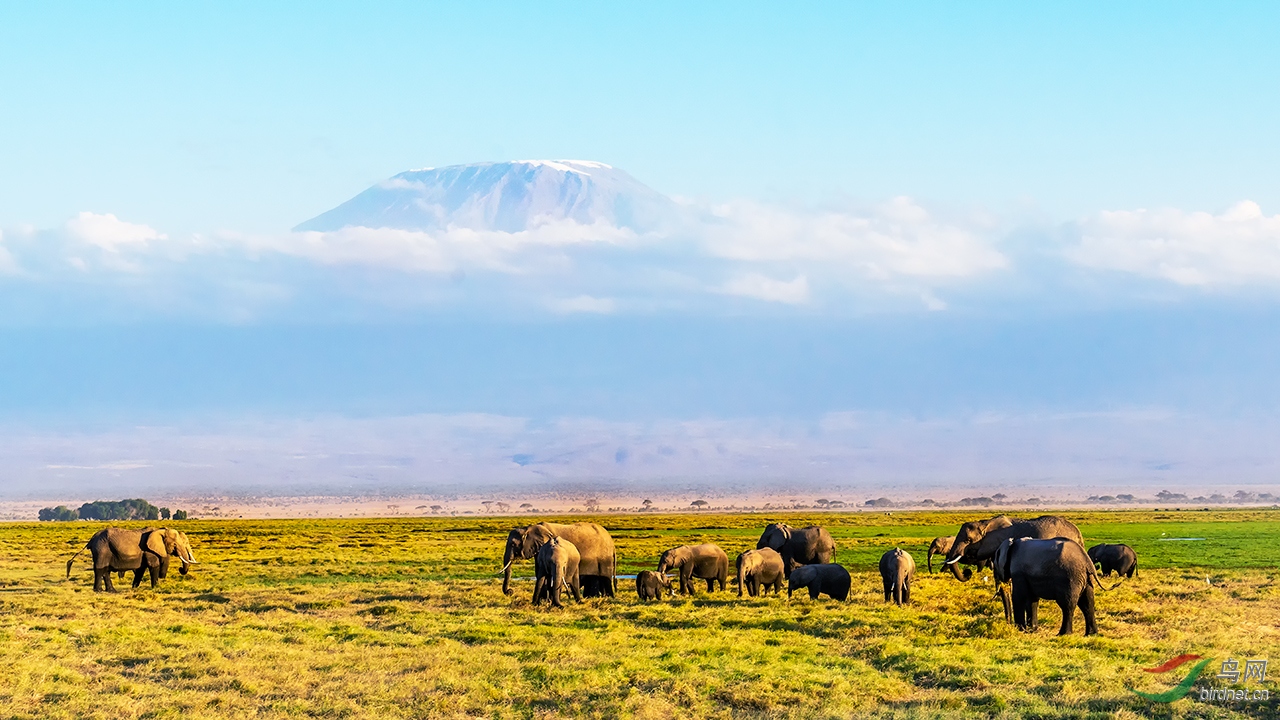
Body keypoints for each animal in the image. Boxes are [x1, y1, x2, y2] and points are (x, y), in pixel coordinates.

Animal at [65, 525, 197, 591]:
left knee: (105, 570)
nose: (180, 569)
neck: (160, 530)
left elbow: (141, 569)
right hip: (102, 549)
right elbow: (153, 566)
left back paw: (111, 591)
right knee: (100, 569)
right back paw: (98, 590)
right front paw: (156, 588)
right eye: (175, 545)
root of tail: (91, 540)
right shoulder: (149, 550)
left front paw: (134, 588)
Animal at [942, 512, 1080, 620]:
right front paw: (1009, 623)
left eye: (967, 541)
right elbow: (1004, 585)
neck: (985, 523)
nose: (968, 572)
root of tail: (1077, 533)